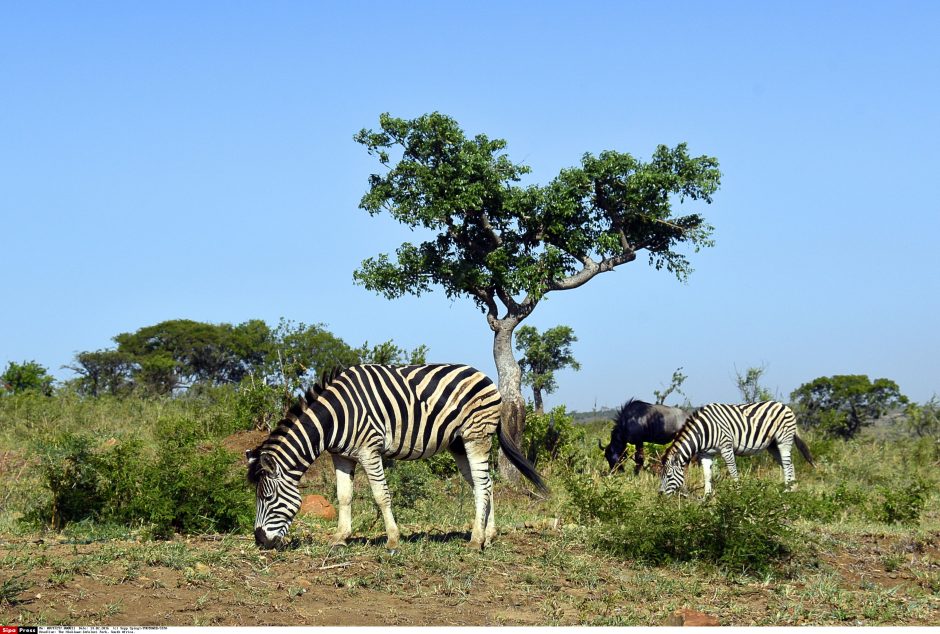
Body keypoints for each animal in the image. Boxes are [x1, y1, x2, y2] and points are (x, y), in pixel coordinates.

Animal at [246, 362, 548, 552]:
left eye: (267, 497)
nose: (260, 541)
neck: (334, 418)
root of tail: (484, 376)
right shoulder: (341, 456)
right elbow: (344, 496)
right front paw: (340, 537)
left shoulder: (369, 449)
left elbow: (381, 495)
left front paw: (392, 539)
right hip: (459, 443)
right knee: (484, 485)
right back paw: (488, 535)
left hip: (477, 436)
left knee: (483, 485)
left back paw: (475, 541)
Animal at [656, 400, 812, 494]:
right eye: (661, 476)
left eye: (668, 476)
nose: (660, 494)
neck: (703, 432)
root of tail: (785, 406)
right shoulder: (705, 454)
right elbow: (707, 475)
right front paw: (706, 498)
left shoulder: (726, 447)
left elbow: (733, 472)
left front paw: (737, 493)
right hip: (772, 446)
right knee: (789, 465)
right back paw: (792, 489)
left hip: (783, 440)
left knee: (787, 464)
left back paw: (787, 491)